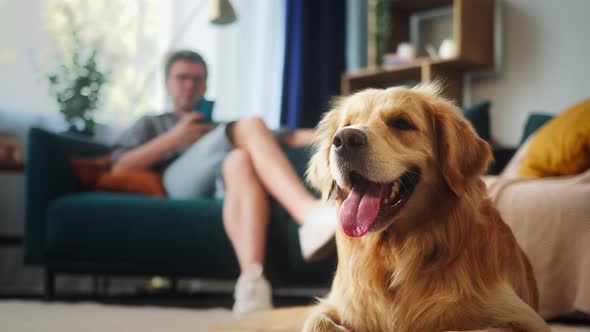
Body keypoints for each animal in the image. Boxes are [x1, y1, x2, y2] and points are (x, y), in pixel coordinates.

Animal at [302, 84, 552, 332]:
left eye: (401, 123)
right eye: (346, 125)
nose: (344, 139)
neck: (395, 251)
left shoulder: (523, 318)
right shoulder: (337, 304)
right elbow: (316, 322)